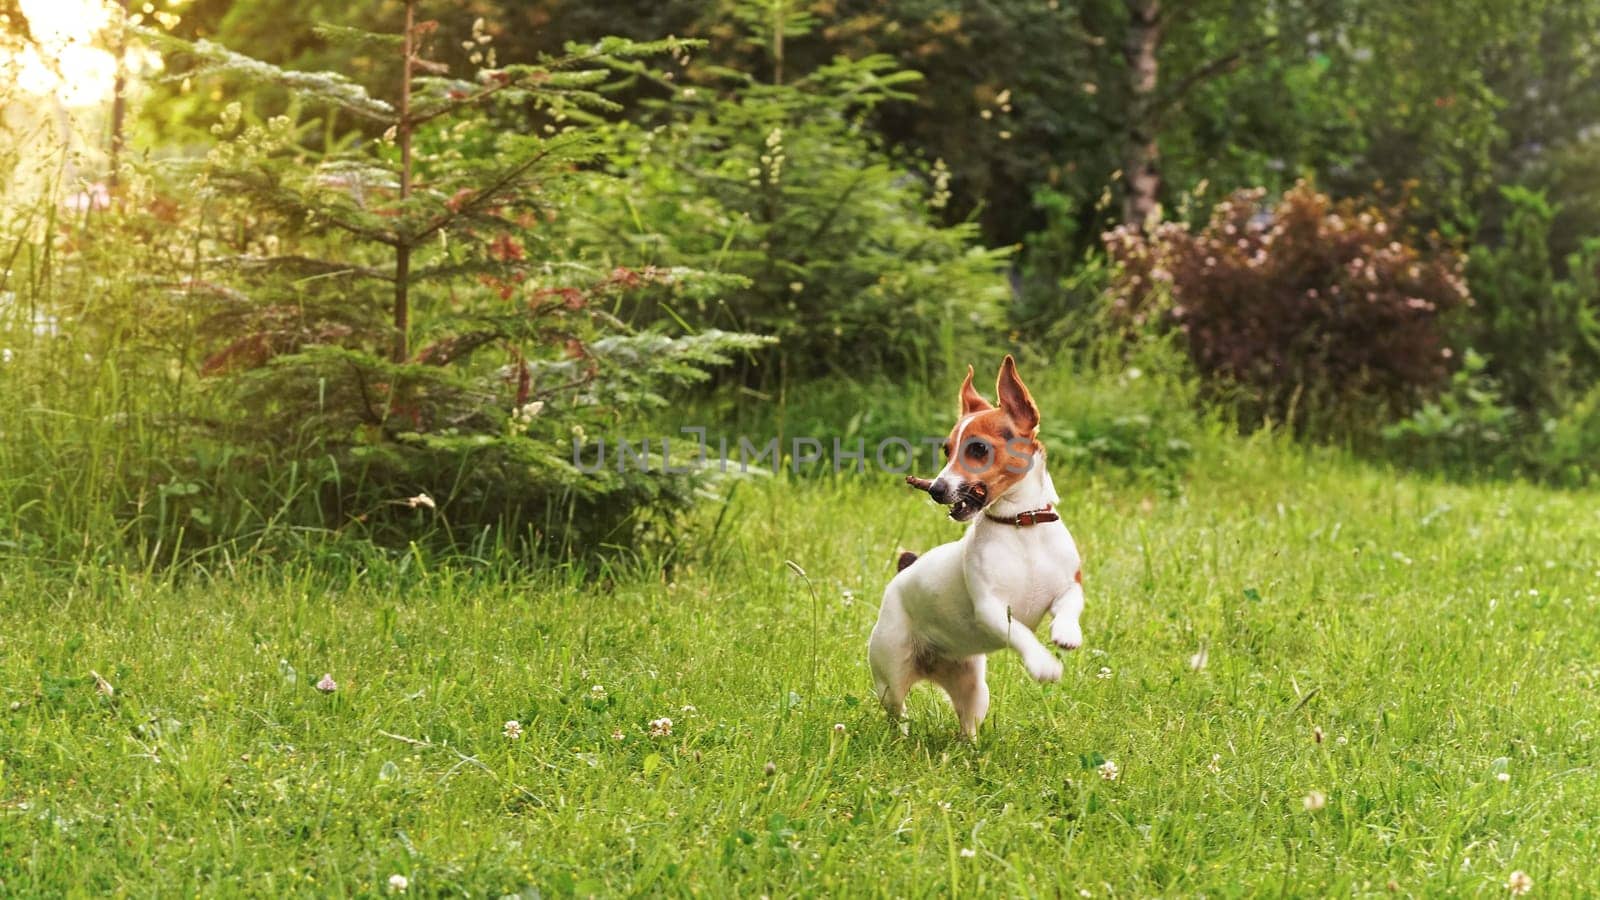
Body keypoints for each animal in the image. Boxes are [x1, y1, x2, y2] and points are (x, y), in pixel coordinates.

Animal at [870, 353, 1081, 739]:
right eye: (946, 450)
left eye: (978, 448)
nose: (936, 489)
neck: (1021, 526)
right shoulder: (991, 608)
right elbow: (1021, 634)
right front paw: (1043, 664)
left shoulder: (1069, 585)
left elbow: (1069, 606)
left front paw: (1066, 633)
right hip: (890, 675)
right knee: (897, 711)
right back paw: (902, 738)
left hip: (973, 688)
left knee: (967, 721)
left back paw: (970, 745)